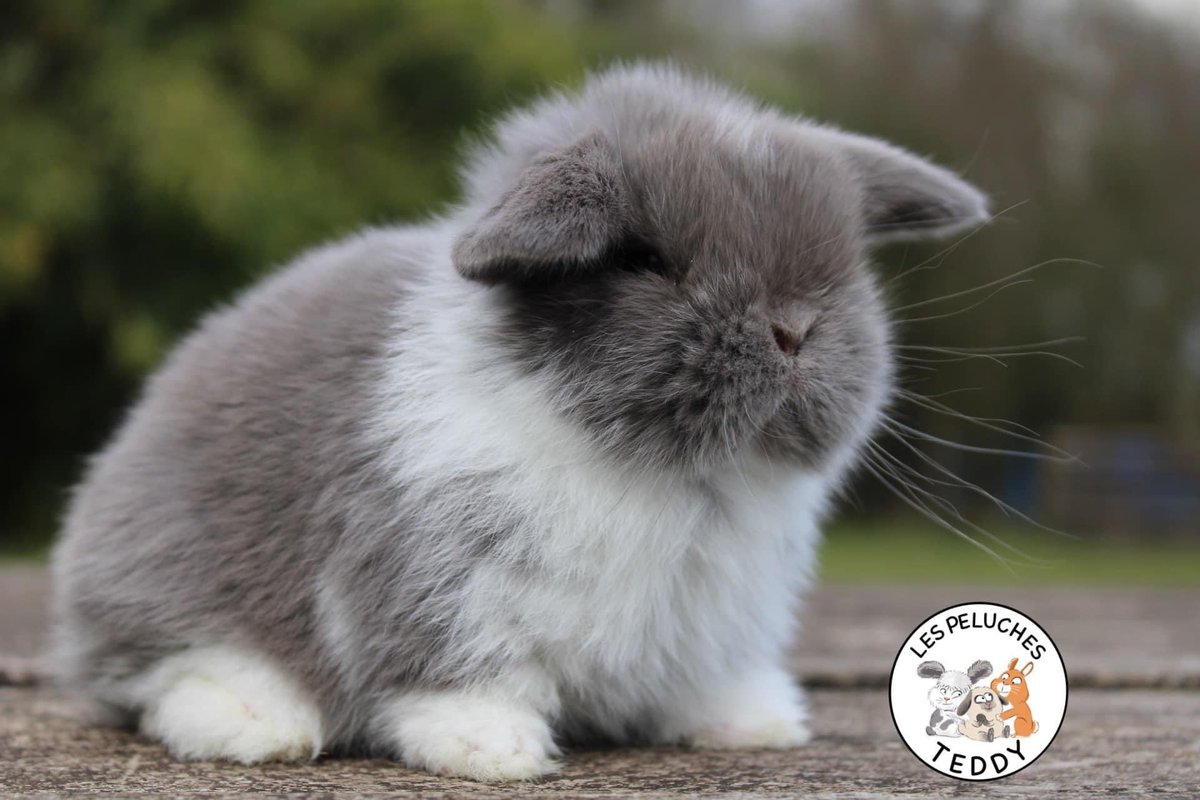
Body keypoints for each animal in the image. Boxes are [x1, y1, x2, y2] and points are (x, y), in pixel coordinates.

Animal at [50, 63, 988, 782]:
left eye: (846, 272)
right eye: (643, 260)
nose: (793, 329)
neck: (680, 475)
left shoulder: (717, 625)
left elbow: (709, 683)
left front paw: (754, 724)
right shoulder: (433, 584)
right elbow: (453, 676)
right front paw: (492, 750)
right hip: (161, 575)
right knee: (157, 669)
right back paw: (256, 723)